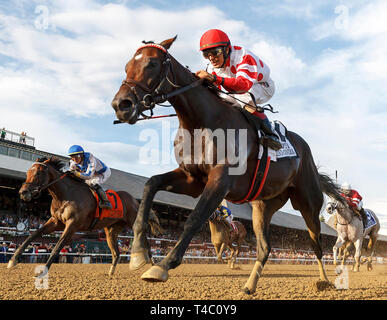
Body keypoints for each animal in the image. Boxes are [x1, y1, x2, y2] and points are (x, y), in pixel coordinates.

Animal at [8, 158, 164, 278]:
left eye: (39, 172)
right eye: (28, 172)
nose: (23, 192)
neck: (65, 195)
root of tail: (135, 201)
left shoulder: (72, 225)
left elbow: (57, 247)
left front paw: (42, 271)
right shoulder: (56, 222)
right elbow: (32, 235)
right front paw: (13, 260)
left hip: (134, 224)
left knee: (147, 246)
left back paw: (153, 269)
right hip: (111, 231)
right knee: (116, 253)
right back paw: (110, 273)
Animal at [111, 36, 346, 294]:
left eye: (152, 64)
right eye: (126, 66)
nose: (121, 105)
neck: (201, 122)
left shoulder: (220, 180)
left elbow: (194, 218)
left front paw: (163, 265)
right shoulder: (192, 179)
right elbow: (150, 185)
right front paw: (139, 252)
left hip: (308, 203)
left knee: (316, 243)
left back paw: (325, 280)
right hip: (263, 206)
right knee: (265, 247)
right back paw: (249, 286)